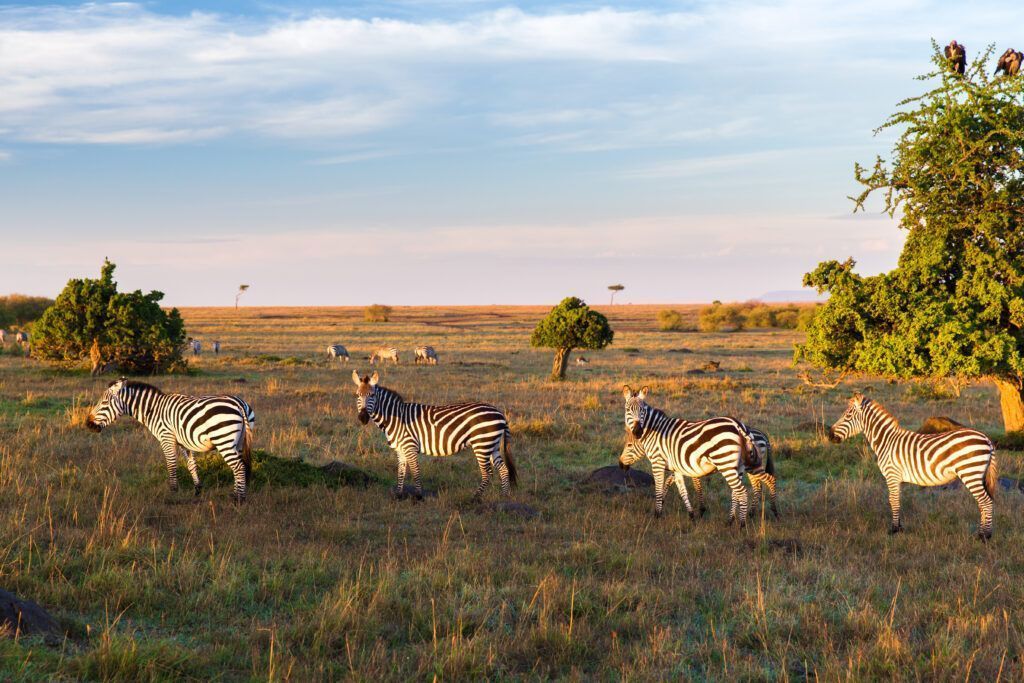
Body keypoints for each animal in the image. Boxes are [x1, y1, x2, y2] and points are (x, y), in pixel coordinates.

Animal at [85, 378, 256, 502]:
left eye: (104, 403)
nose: (88, 424)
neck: (153, 410)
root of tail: (239, 403)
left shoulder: (166, 437)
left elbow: (171, 465)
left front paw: (173, 491)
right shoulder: (183, 442)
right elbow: (191, 465)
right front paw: (197, 490)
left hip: (224, 440)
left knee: (238, 467)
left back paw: (239, 499)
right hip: (239, 441)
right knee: (240, 466)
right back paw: (236, 494)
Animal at [352, 370, 516, 500]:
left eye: (372, 395)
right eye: (358, 395)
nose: (362, 418)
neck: (396, 418)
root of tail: (500, 412)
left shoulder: (410, 446)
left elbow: (415, 471)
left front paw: (418, 496)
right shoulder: (400, 449)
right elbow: (401, 472)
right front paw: (398, 494)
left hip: (482, 444)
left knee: (488, 473)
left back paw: (475, 497)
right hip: (491, 445)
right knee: (503, 469)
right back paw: (505, 496)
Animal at [619, 385, 759, 525]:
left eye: (629, 446)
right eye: (627, 409)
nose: (638, 431)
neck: (653, 432)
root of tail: (738, 425)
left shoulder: (657, 462)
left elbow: (658, 490)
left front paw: (657, 516)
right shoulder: (676, 468)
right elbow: (683, 492)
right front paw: (692, 516)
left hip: (726, 464)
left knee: (742, 492)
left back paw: (741, 525)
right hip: (739, 466)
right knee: (736, 493)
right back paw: (730, 521)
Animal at [829, 393, 997, 539]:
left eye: (847, 416)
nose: (830, 436)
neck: (886, 441)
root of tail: (986, 439)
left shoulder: (892, 475)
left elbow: (893, 501)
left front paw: (894, 530)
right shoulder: (897, 478)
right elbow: (898, 501)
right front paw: (900, 528)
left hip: (970, 472)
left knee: (985, 502)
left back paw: (985, 536)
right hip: (977, 475)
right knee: (983, 503)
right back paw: (981, 533)